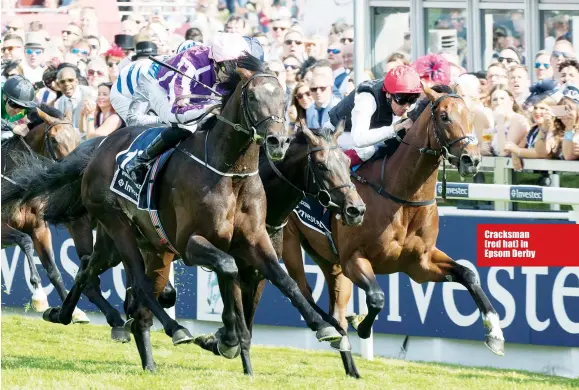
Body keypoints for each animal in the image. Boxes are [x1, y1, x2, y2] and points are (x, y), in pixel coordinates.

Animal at [0, 105, 89, 322]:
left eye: (77, 138)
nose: (78, 166)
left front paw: (73, 311)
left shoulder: (40, 228)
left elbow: (53, 270)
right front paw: (39, 296)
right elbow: (24, 240)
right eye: (55, 140)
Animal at [36, 57, 354, 372]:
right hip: (119, 227)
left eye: (284, 98)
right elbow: (228, 271)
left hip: (136, 243)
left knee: (93, 272)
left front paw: (324, 328)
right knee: (138, 283)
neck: (231, 174)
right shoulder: (191, 244)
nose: (278, 141)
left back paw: (77, 320)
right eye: (252, 97)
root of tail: (98, 148)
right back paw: (175, 329)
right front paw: (226, 339)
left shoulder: (253, 243)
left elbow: (283, 280)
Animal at [280, 84, 502, 372]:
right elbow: (376, 297)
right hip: (289, 244)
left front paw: (495, 333)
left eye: (471, 116)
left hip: (329, 260)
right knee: (303, 291)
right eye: (444, 117)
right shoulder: (354, 258)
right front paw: (362, 326)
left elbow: (469, 274)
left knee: (334, 307)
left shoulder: (419, 264)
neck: (402, 196)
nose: (471, 160)